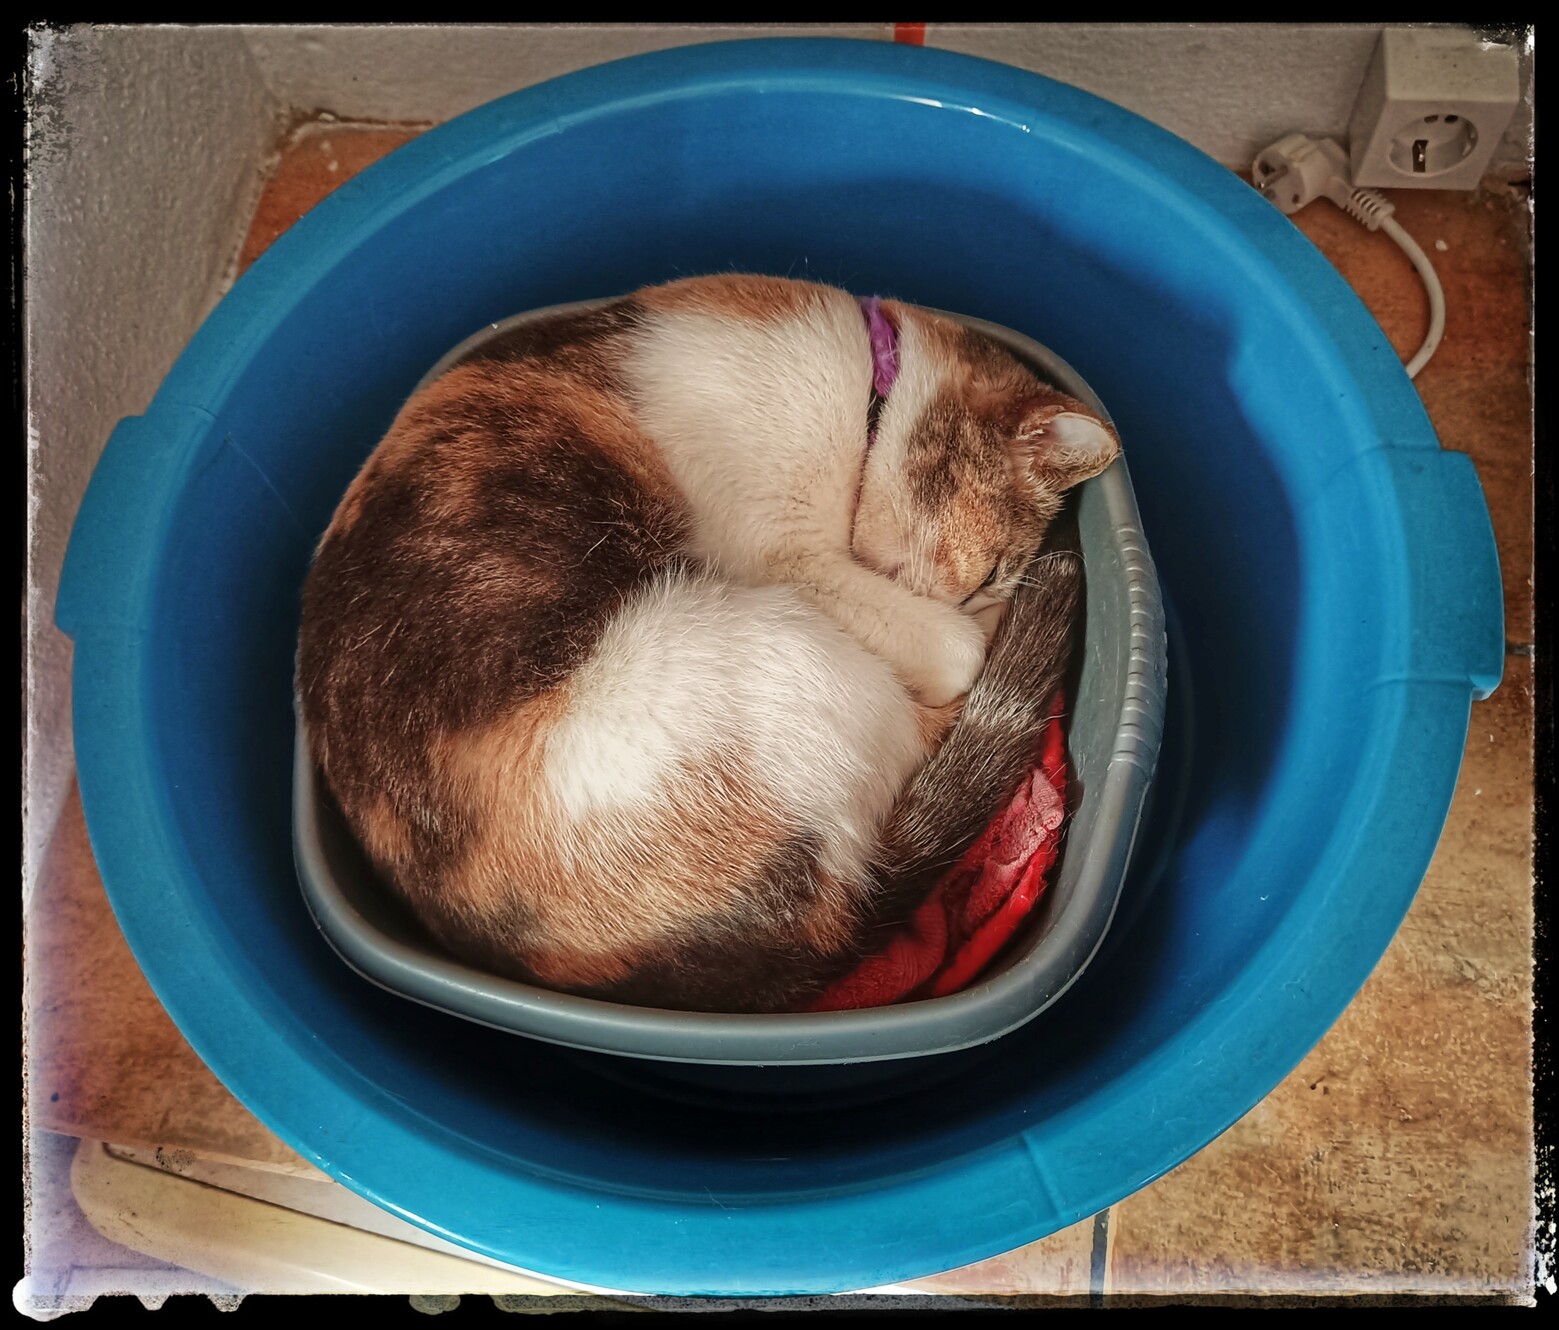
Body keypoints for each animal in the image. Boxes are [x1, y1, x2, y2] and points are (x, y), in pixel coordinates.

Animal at [294, 274, 1122, 1010]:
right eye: (988, 575)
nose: (987, 595)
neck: (869, 392)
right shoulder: (790, 559)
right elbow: (959, 648)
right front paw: (988, 624)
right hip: (780, 648)